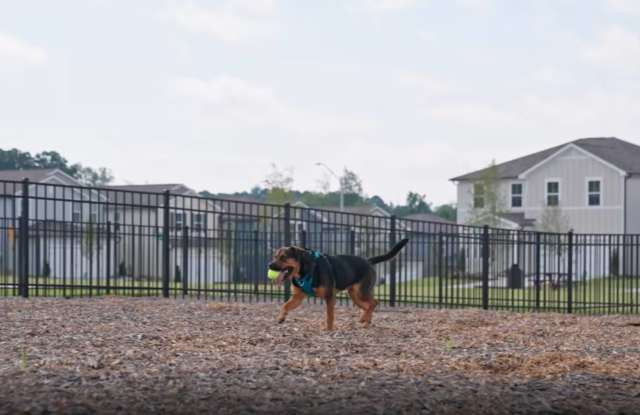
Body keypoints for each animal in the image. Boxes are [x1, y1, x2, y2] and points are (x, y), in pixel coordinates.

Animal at [266, 240, 408, 332]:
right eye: (275, 256)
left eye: (283, 257)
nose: (269, 265)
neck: (306, 268)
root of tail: (368, 261)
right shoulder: (298, 297)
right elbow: (285, 305)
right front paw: (281, 317)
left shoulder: (329, 296)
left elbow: (330, 315)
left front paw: (329, 329)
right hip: (354, 295)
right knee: (367, 306)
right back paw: (365, 320)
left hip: (361, 292)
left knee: (374, 302)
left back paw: (364, 319)